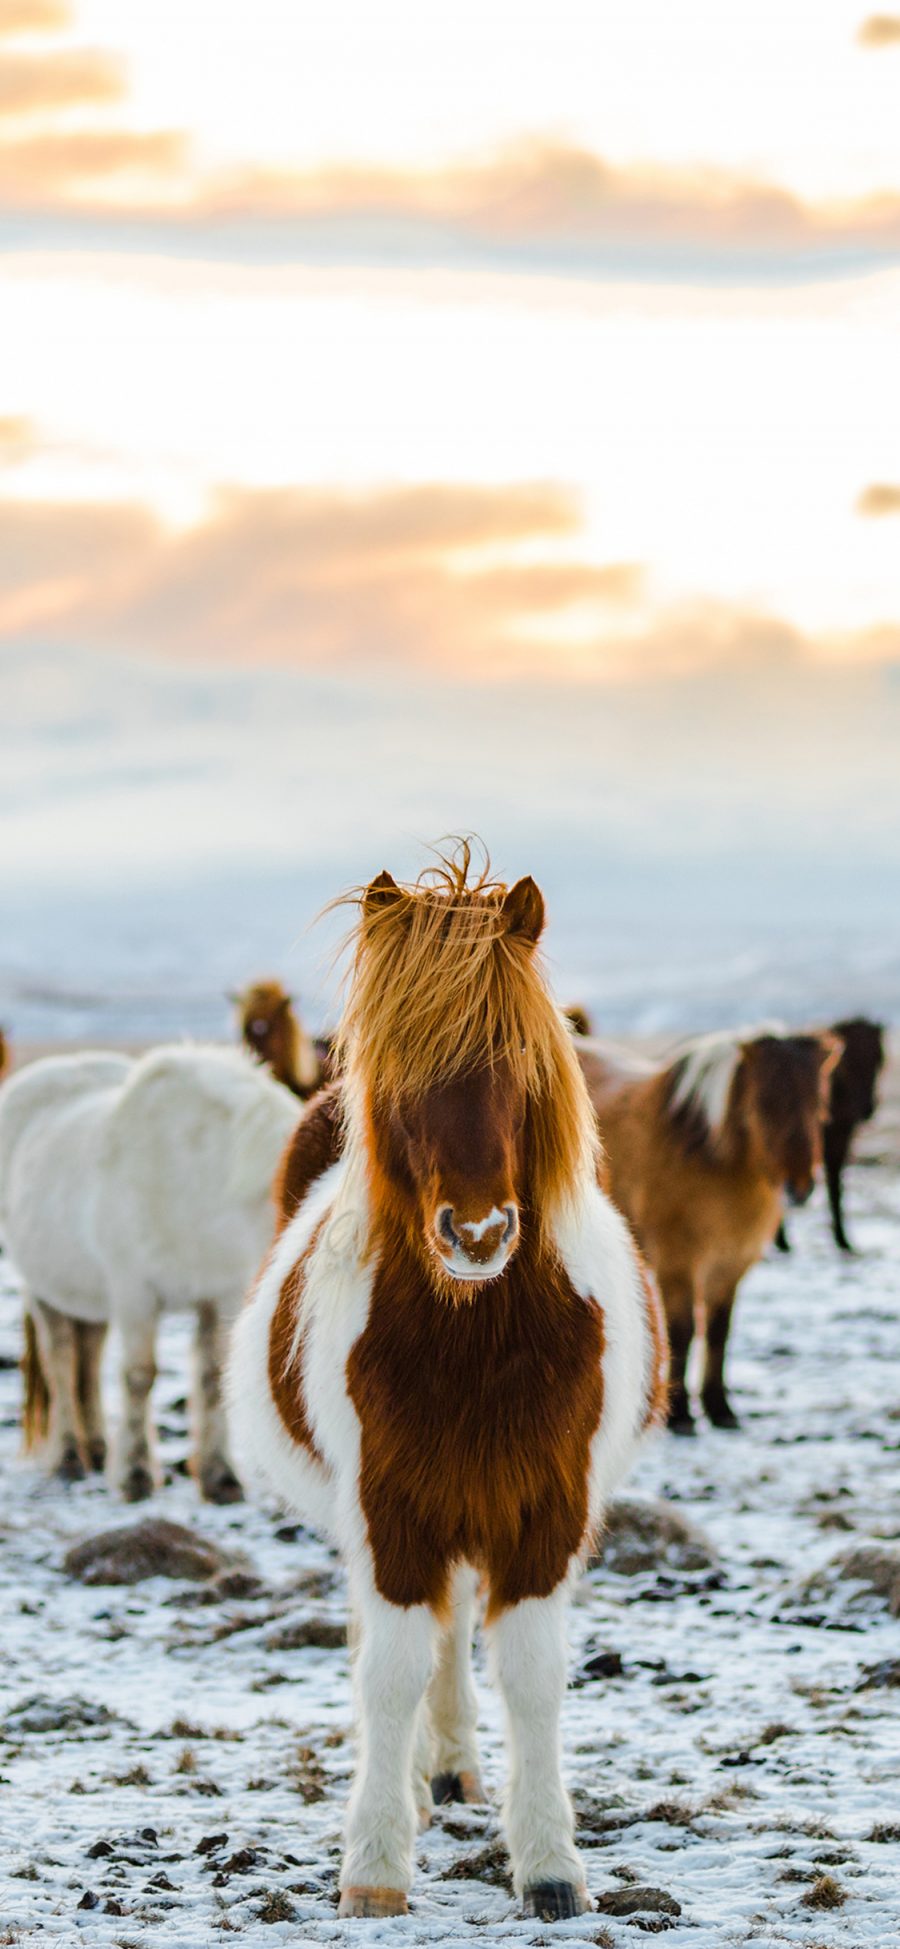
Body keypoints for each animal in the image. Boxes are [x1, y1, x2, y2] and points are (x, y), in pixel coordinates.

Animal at [0, 1044, 301, 1496]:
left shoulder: (223, 1294)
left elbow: (213, 1377)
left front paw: (220, 1477)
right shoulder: (135, 1292)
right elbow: (139, 1376)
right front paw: (136, 1474)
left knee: (88, 1361)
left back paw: (97, 1450)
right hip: (43, 1290)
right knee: (61, 1363)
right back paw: (69, 1457)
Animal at [228, 849, 666, 1917]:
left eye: (521, 1060)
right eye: (401, 1071)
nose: (477, 1233)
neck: (474, 1340)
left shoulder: (543, 1509)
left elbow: (532, 1674)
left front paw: (549, 1863)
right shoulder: (390, 1511)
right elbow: (388, 1670)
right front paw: (377, 1864)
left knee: (456, 1624)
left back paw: (454, 1769)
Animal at [580, 1021, 841, 1434]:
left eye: (820, 1103)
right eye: (762, 1103)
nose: (799, 1189)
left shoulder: (731, 1265)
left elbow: (719, 1331)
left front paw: (720, 1408)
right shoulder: (678, 1263)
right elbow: (683, 1331)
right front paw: (681, 1414)